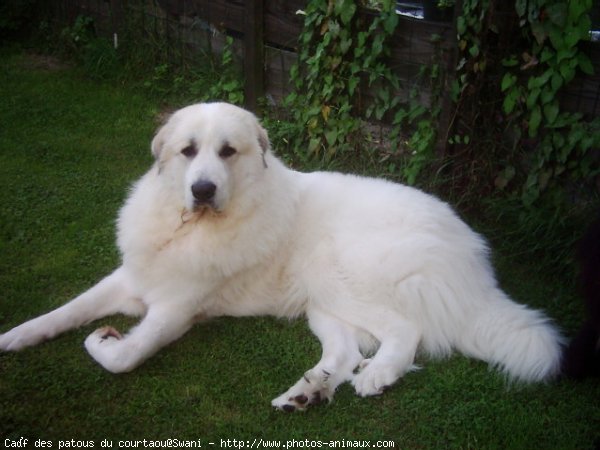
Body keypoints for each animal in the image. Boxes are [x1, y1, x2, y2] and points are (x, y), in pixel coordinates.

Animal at [0, 102, 564, 412]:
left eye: (227, 152)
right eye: (188, 151)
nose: (202, 190)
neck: (189, 227)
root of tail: (476, 260)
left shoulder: (176, 311)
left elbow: (123, 356)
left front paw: (104, 339)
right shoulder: (129, 277)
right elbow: (64, 310)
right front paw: (17, 336)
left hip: (339, 272)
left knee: (406, 331)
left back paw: (378, 375)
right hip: (323, 302)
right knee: (345, 351)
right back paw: (309, 392)